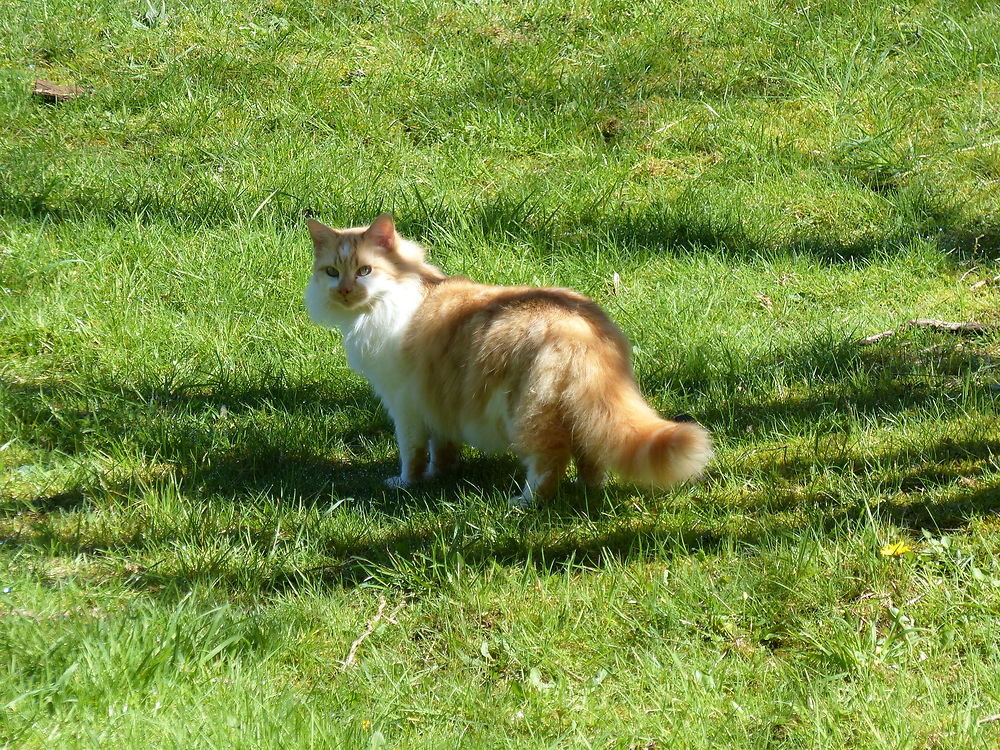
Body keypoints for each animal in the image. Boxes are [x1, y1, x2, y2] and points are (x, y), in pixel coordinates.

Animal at [302, 213, 712, 506]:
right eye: (332, 272)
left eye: (365, 271)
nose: (345, 290)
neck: (396, 294)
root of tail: (582, 324)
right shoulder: (439, 404)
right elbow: (441, 450)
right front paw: (440, 476)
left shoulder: (404, 406)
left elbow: (412, 454)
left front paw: (405, 483)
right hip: (579, 407)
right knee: (590, 456)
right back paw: (586, 492)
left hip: (528, 413)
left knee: (549, 463)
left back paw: (526, 502)